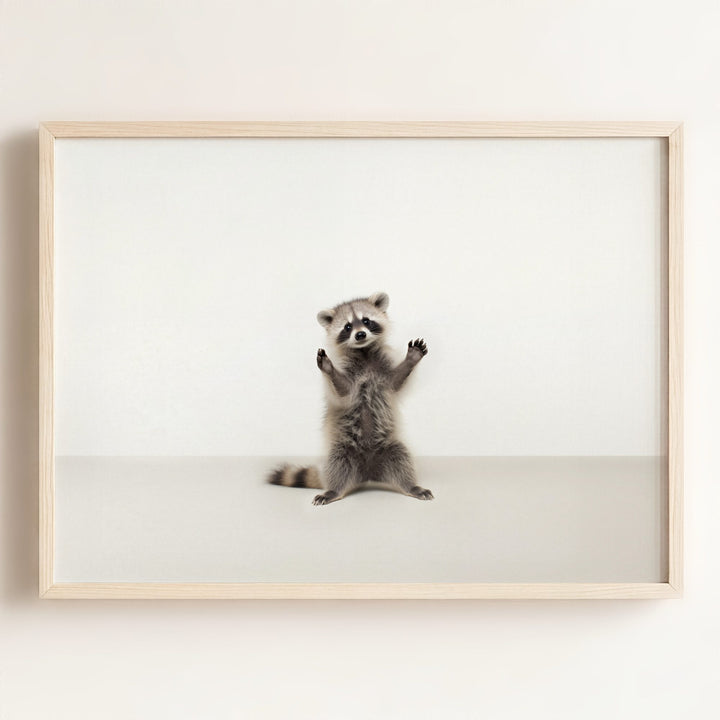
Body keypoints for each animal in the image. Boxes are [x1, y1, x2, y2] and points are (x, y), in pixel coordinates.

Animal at [268, 291, 433, 505]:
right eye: (347, 327)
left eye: (366, 321)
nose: (360, 334)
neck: (364, 352)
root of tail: (368, 474)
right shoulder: (348, 374)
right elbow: (343, 391)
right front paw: (329, 369)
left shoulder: (383, 370)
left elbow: (396, 382)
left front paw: (411, 359)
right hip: (342, 449)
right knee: (337, 465)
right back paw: (333, 490)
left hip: (390, 447)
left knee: (402, 459)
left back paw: (411, 486)